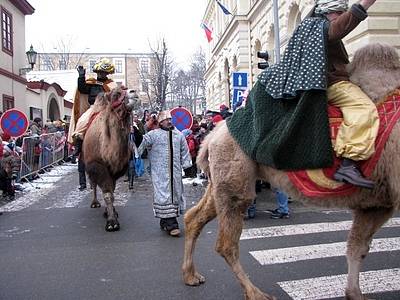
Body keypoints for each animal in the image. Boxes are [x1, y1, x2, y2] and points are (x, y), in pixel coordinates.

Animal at [81, 86, 139, 232]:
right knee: (93, 183)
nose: (133, 92)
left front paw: (111, 212)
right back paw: (95, 203)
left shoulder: (116, 169)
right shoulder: (97, 165)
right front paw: (112, 223)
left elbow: (112, 191)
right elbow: (107, 193)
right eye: (116, 94)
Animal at [183, 42, 400, 300]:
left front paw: (355, 294)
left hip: (222, 180)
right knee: (226, 243)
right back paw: (255, 293)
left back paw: (191, 276)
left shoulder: (377, 203)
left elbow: (358, 247)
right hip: (236, 182)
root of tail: (211, 137)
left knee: (194, 218)